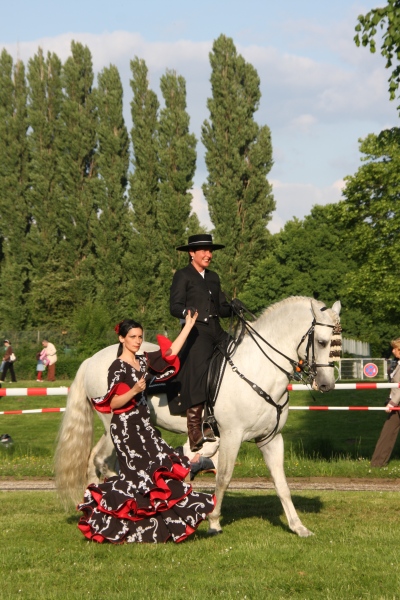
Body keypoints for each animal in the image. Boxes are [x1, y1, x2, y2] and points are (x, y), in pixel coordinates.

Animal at [54, 298, 340, 536]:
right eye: (322, 342)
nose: (327, 384)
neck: (257, 369)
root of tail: (92, 359)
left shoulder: (270, 439)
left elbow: (281, 483)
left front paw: (297, 526)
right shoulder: (231, 436)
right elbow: (223, 477)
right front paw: (214, 521)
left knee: (99, 462)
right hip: (115, 427)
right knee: (101, 463)